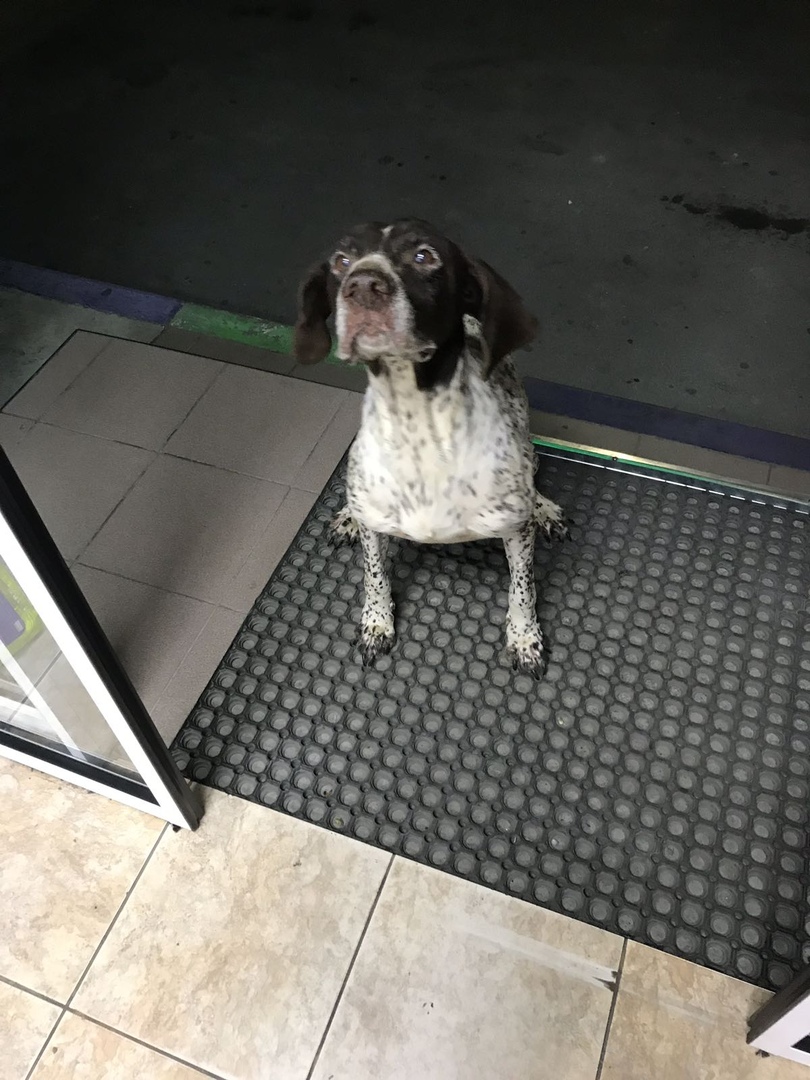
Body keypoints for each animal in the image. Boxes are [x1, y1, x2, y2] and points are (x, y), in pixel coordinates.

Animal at [293, 219, 567, 674]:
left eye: (423, 256)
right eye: (342, 260)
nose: (362, 284)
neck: (418, 427)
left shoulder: (515, 531)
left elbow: (522, 590)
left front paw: (525, 639)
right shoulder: (375, 529)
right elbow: (374, 576)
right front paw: (376, 624)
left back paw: (544, 507)